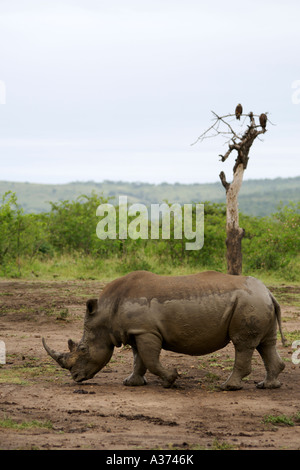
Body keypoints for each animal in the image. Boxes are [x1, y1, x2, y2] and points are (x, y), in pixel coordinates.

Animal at [42, 270, 286, 392]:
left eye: (83, 349)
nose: (75, 377)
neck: (106, 313)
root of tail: (268, 292)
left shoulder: (146, 331)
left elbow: (150, 359)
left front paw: (171, 379)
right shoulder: (136, 331)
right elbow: (138, 359)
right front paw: (131, 383)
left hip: (249, 302)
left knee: (242, 344)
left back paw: (228, 387)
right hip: (256, 301)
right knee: (266, 343)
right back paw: (267, 386)